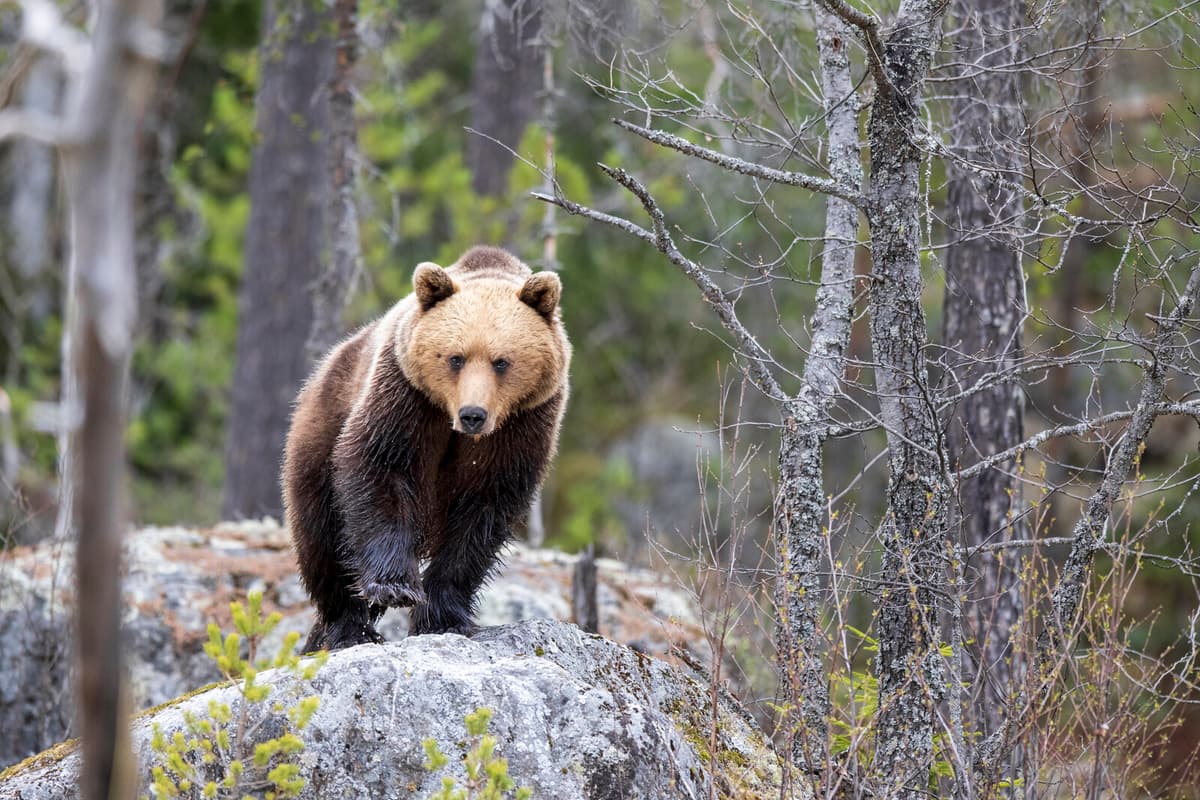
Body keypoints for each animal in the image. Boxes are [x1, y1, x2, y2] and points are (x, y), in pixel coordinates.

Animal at [282, 246, 570, 652]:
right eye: (455, 358)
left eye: (501, 361)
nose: (473, 415)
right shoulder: (407, 397)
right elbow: (380, 467)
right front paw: (394, 586)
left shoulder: (521, 426)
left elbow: (482, 515)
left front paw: (442, 615)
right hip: (320, 433)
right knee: (323, 539)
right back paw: (346, 628)